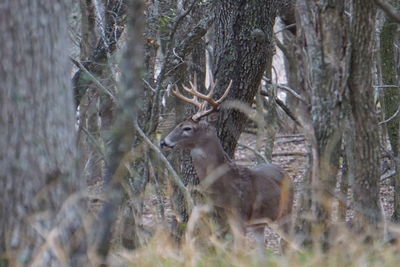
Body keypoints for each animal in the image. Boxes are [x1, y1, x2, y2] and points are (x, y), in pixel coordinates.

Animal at [160, 79, 294, 251]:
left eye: (187, 128)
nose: (163, 142)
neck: (225, 184)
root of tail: (287, 174)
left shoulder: (240, 214)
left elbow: (239, 249)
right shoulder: (224, 216)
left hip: (285, 212)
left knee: (289, 242)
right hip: (260, 223)